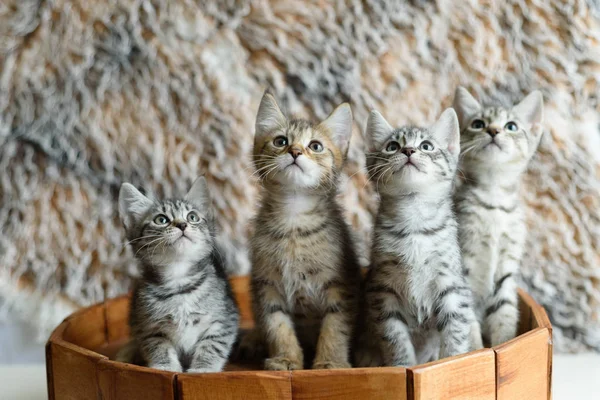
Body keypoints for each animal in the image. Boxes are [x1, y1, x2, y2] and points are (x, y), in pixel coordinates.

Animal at [115, 177, 239, 372]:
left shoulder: (224, 320)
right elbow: (158, 346)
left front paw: (203, 369)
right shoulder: (147, 327)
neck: (179, 283)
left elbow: (212, 345)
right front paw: (165, 367)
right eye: (161, 219)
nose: (182, 224)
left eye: (192, 217)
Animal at [248, 92, 360, 370]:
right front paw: (286, 358)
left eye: (316, 146)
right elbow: (277, 326)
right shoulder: (266, 285)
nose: (295, 151)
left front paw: (330, 361)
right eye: (280, 141)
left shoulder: (341, 285)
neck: (293, 218)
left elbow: (335, 327)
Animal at [354, 108, 480, 368]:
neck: (414, 223)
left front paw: (453, 362)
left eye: (426, 146)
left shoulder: (452, 286)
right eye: (392, 146)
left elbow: (455, 332)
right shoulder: (382, 292)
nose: (409, 150)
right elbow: (395, 338)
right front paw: (402, 366)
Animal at [454, 87, 544, 346]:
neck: (494, 201)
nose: (493, 130)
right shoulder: (462, 267)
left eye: (511, 126)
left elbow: (505, 314)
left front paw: (505, 344)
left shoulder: (506, 269)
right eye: (478, 123)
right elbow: (468, 324)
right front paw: (477, 351)